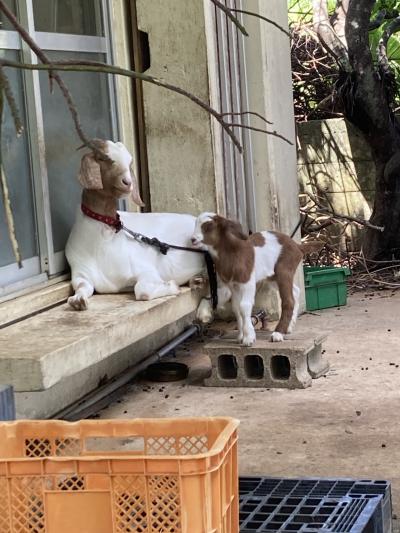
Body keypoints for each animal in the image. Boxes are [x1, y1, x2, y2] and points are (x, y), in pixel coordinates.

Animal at [65, 139, 206, 310]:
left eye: (129, 161)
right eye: (102, 158)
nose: (128, 182)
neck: (104, 241)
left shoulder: (146, 269)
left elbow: (142, 290)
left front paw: (172, 286)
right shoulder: (81, 274)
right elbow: (81, 287)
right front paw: (78, 300)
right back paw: (198, 280)